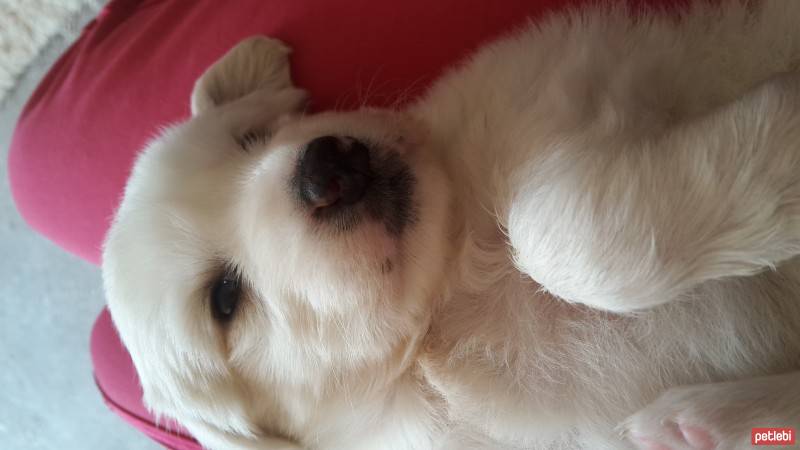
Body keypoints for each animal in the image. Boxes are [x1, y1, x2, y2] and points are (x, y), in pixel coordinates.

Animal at [101, 1, 800, 448]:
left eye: (250, 139)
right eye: (225, 299)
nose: (324, 168)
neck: (460, 268)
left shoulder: (574, 75)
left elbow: (552, 231)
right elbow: (563, 237)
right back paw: (700, 424)